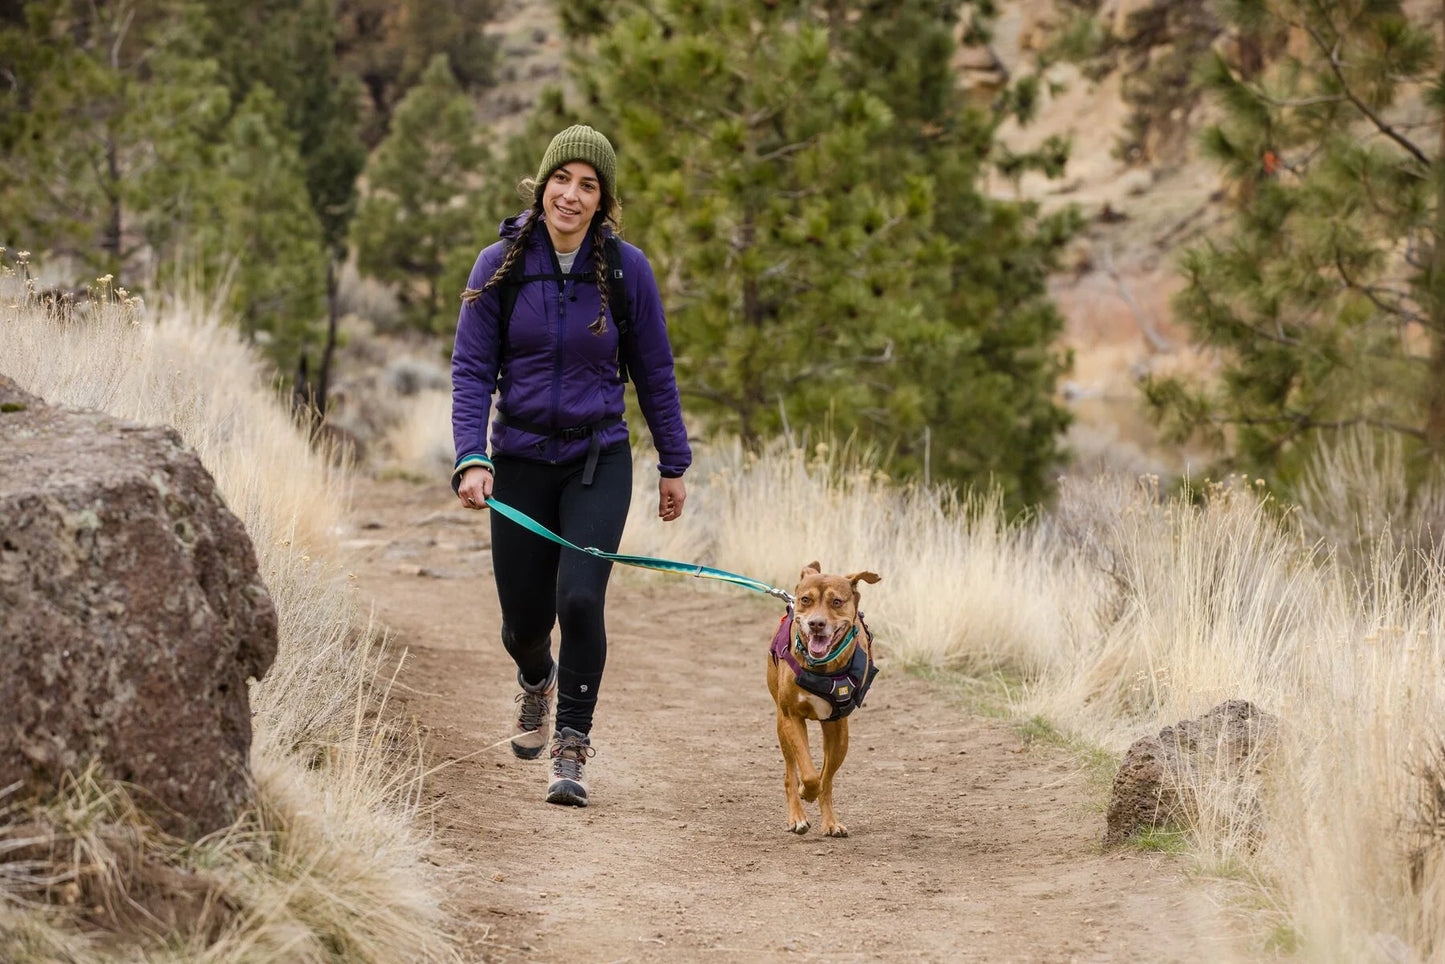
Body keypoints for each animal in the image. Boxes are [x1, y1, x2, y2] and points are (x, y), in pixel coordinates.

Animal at [768, 566, 878, 838]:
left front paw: (827, 816)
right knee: (790, 772)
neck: (821, 668)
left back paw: (830, 822)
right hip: (781, 725)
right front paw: (805, 793)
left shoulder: (837, 726)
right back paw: (797, 816)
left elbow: (825, 779)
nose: (816, 623)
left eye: (836, 602)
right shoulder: (792, 717)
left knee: (825, 778)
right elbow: (808, 774)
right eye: (806, 599)